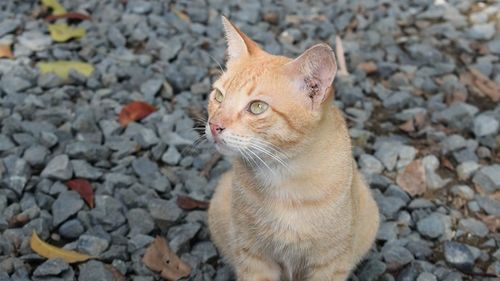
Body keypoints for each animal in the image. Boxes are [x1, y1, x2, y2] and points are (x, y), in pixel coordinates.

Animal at [207, 17, 378, 280]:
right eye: (218, 96)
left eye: (257, 107)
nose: (214, 126)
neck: (283, 177)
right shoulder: (253, 257)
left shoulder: (330, 263)